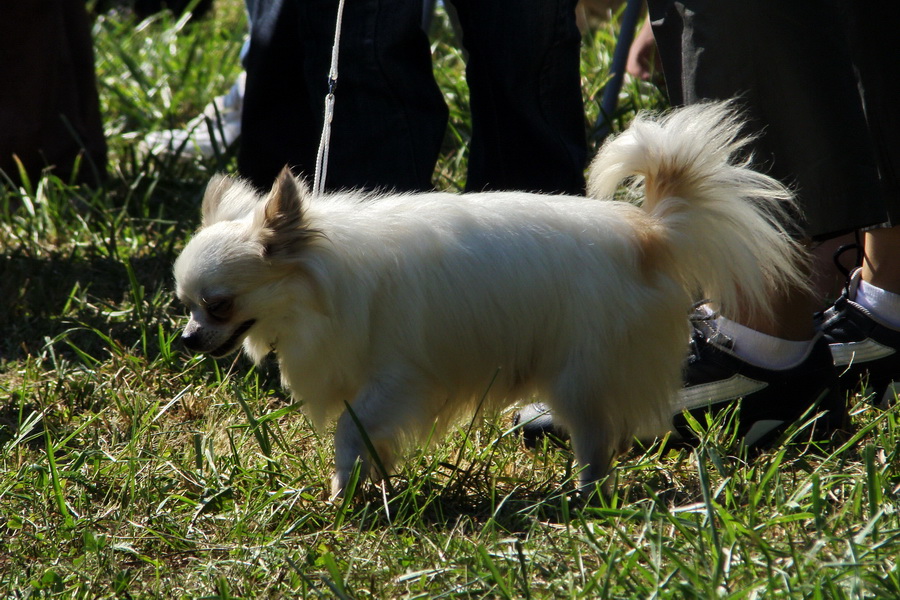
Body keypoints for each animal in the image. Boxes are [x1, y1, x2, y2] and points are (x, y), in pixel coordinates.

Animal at [172, 102, 804, 496]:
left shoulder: (399, 379)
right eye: (185, 305)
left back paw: (586, 494)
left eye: (219, 304)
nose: (185, 338)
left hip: (579, 376)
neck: (320, 284)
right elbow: (367, 439)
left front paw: (341, 494)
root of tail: (648, 233)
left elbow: (351, 433)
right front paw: (369, 484)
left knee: (596, 439)